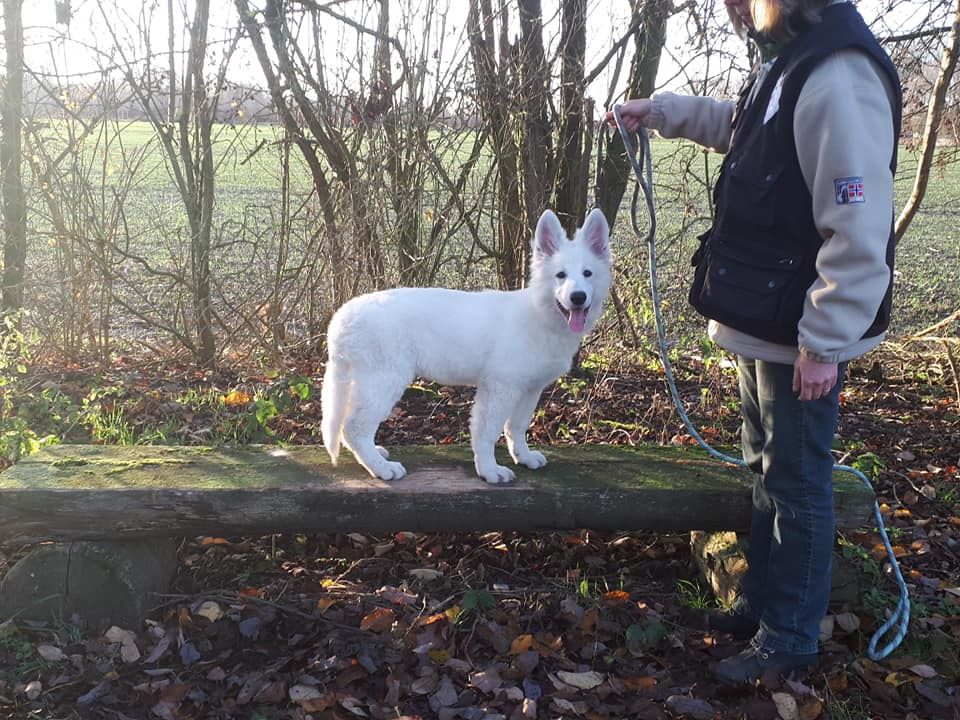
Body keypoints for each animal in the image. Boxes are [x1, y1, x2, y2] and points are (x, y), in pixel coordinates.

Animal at [320, 207, 612, 484]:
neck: (541, 314)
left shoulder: (530, 389)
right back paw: (382, 468)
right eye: (560, 275)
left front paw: (524, 457)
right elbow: (487, 431)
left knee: (347, 421)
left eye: (587, 273)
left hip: (362, 379)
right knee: (354, 426)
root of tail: (342, 317)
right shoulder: (499, 387)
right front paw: (489, 471)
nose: (578, 297)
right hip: (385, 378)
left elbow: (517, 427)